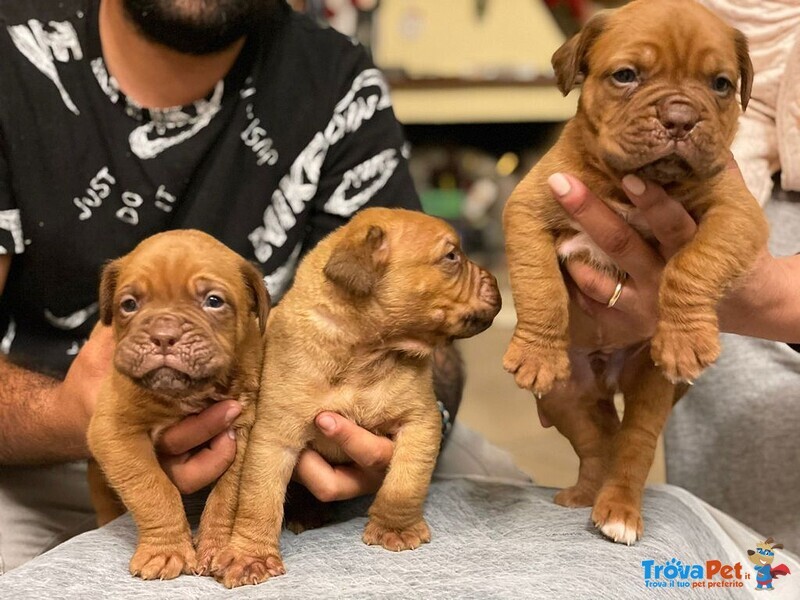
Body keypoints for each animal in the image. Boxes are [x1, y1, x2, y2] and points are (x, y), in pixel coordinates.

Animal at [86, 229, 270, 576]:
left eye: (213, 301)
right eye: (129, 305)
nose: (163, 335)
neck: (187, 394)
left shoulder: (242, 429)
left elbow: (228, 495)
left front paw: (217, 547)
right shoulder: (114, 430)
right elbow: (152, 488)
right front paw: (166, 550)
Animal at [211, 209, 500, 588]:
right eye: (452, 256)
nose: (497, 283)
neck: (366, 354)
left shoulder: (420, 422)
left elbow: (405, 482)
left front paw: (396, 528)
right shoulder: (273, 440)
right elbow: (258, 499)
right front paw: (251, 556)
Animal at [500, 0, 768, 544]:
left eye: (721, 84)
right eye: (625, 76)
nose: (680, 118)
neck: (632, 183)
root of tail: (606, 379)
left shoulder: (737, 213)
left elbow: (693, 263)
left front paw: (685, 339)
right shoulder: (531, 204)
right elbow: (538, 283)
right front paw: (536, 351)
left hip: (650, 384)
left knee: (632, 444)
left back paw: (619, 511)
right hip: (566, 395)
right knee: (597, 444)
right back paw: (587, 495)